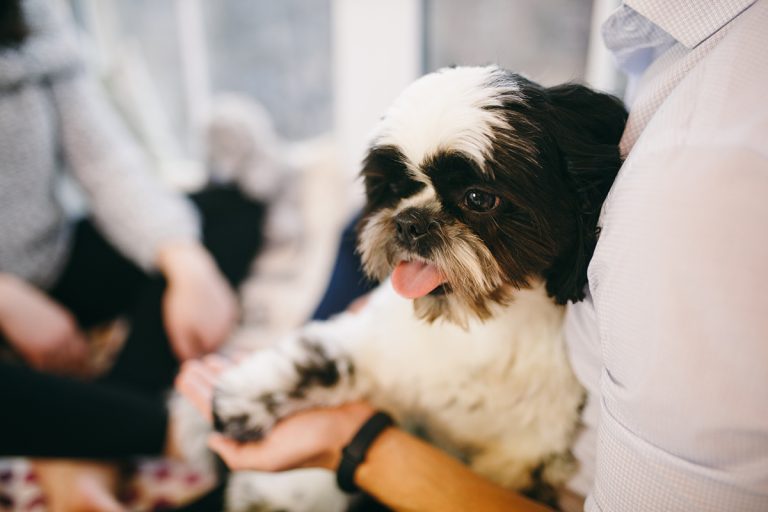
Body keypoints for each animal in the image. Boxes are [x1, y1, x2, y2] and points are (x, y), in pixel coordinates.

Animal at [207, 66, 628, 510]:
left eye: (479, 198)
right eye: (397, 188)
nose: (409, 221)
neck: (478, 325)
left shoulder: (520, 452)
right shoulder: (383, 349)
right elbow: (320, 362)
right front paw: (242, 400)